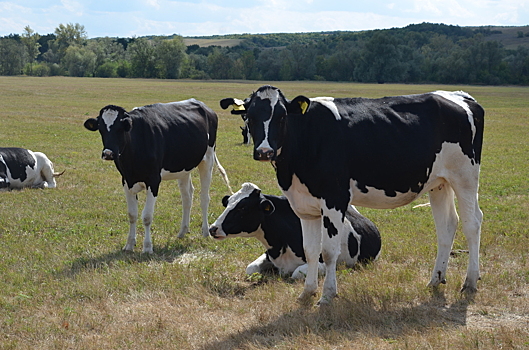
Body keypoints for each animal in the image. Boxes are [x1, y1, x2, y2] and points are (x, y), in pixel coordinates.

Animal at [84, 100, 231, 253]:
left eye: (120, 128)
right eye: (101, 129)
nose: (108, 154)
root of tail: (201, 104)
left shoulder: (153, 181)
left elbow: (147, 216)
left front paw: (147, 247)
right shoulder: (126, 181)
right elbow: (132, 214)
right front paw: (129, 244)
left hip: (207, 160)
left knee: (204, 198)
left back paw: (205, 232)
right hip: (183, 167)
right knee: (187, 197)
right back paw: (182, 231)